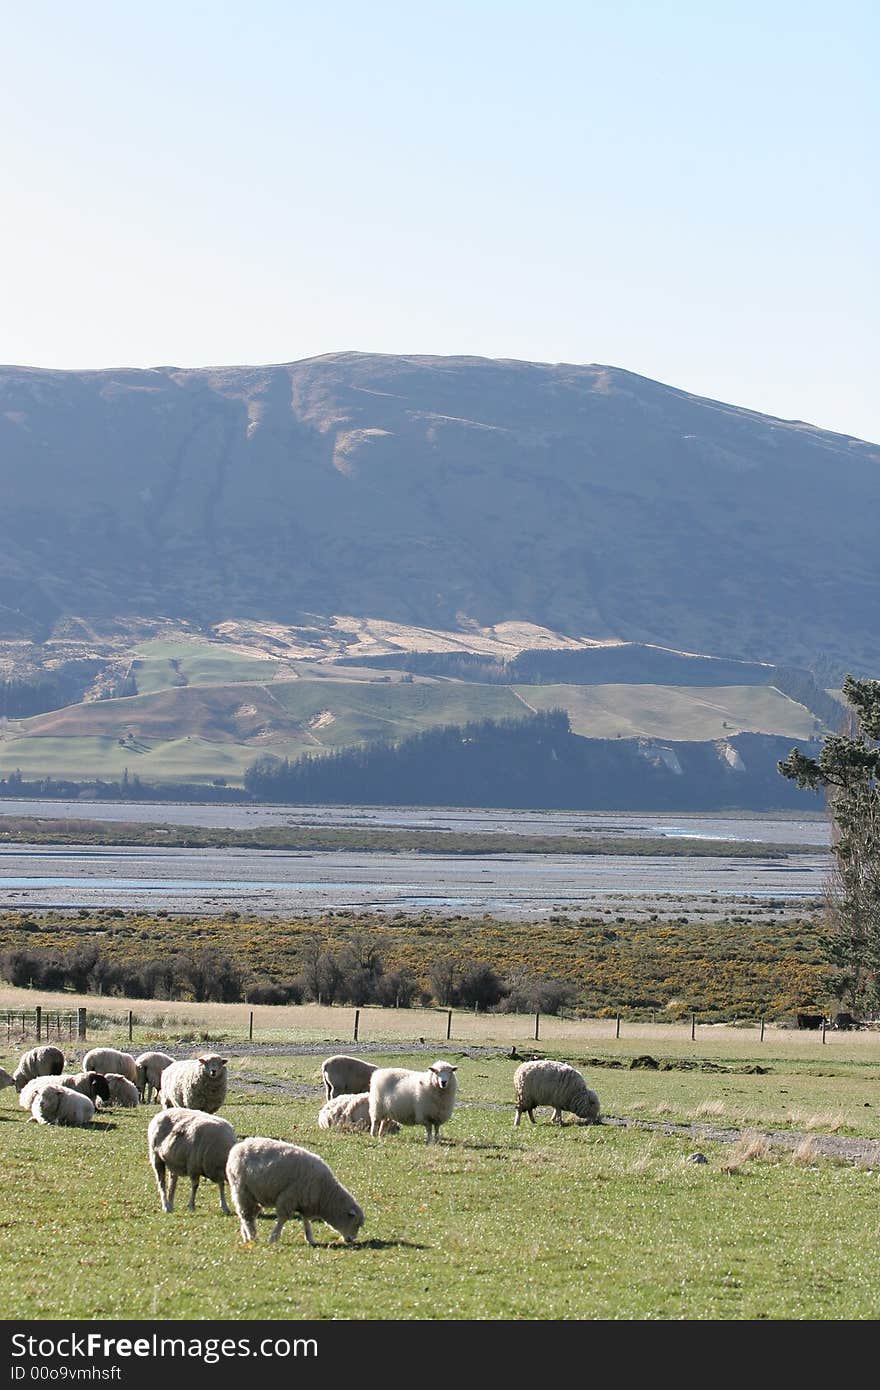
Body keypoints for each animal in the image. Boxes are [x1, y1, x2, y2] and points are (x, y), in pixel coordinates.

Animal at [226, 1139, 367, 1251]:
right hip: (241, 1189)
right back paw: (252, 1236)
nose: (351, 1240)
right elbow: (283, 1219)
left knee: (247, 1214)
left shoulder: (306, 1202)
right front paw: (274, 1238)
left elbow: (306, 1220)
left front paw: (310, 1238)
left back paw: (246, 1236)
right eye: (355, 1223)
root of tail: (237, 1147)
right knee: (246, 1215)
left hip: (251, 1194)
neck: (325, 1193)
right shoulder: (289, 1197)